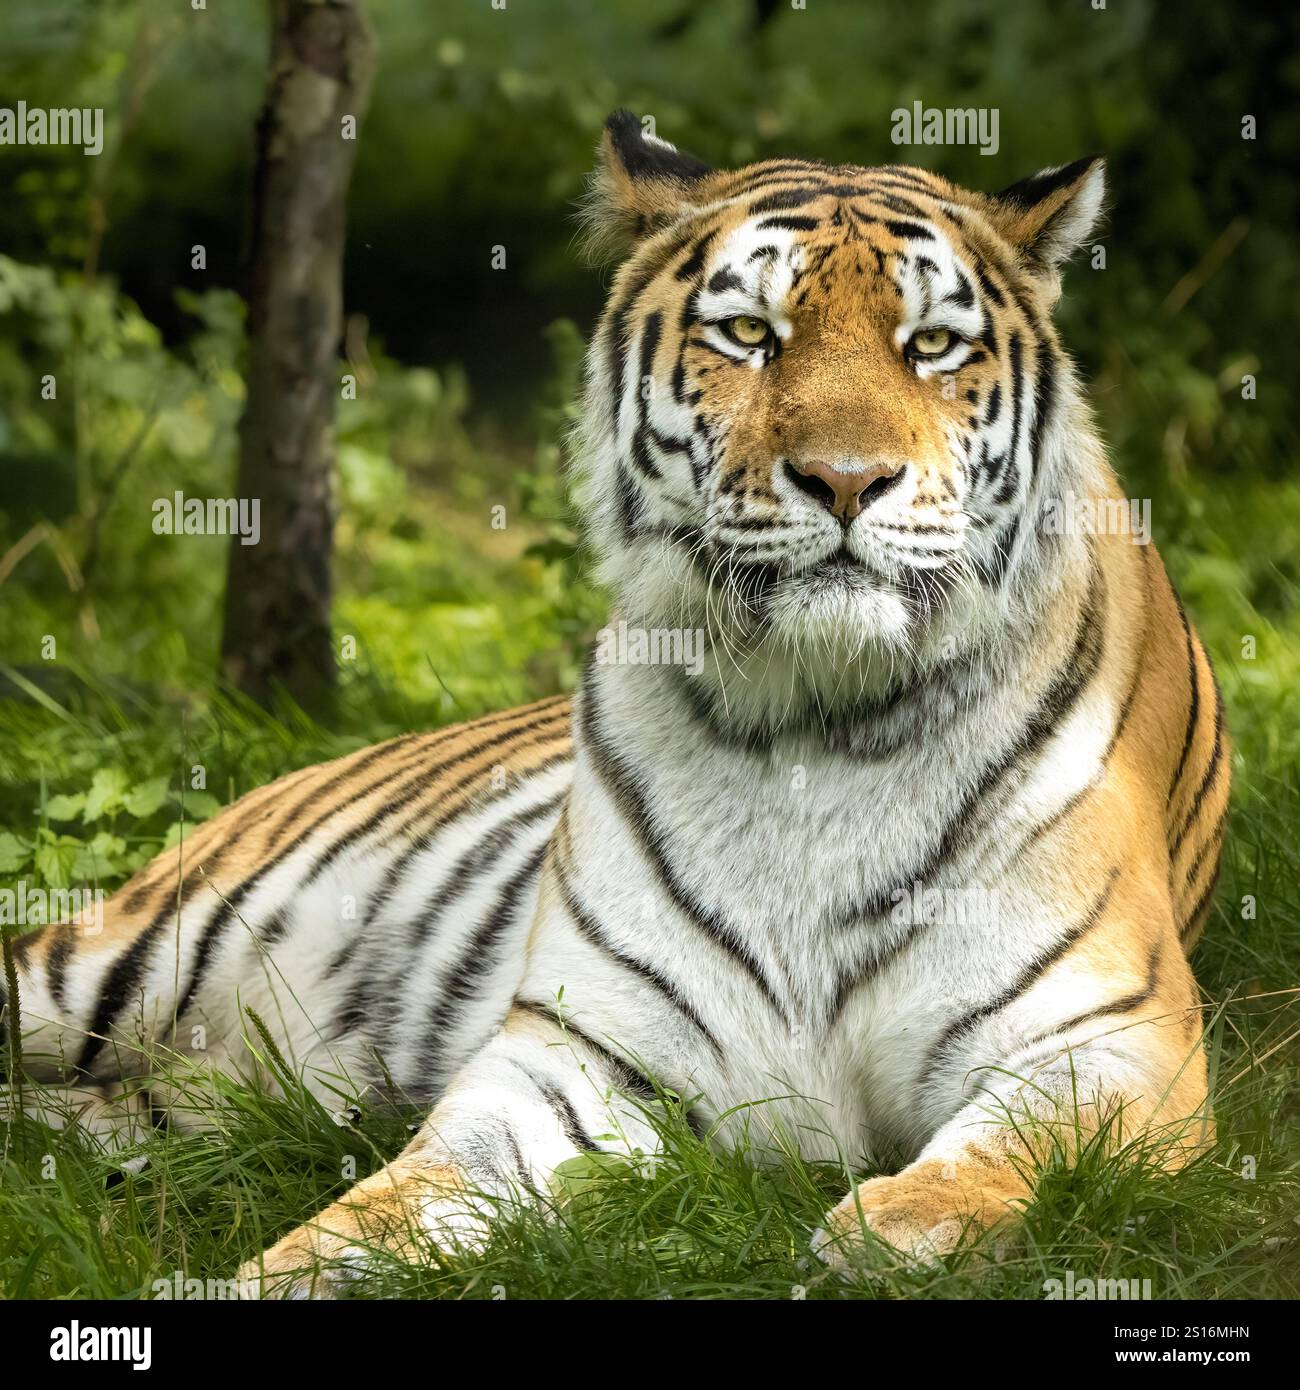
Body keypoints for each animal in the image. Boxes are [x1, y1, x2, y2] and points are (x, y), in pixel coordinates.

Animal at [1, 110, 1230, 1297]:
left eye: (930, 346)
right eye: (751, 335)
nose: (844, 479)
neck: (819, 721)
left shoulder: (1108, 1035)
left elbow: (1007, 1152)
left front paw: (894, 1230)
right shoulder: (582, 1053)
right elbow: (393, 1202)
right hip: (110, 962)